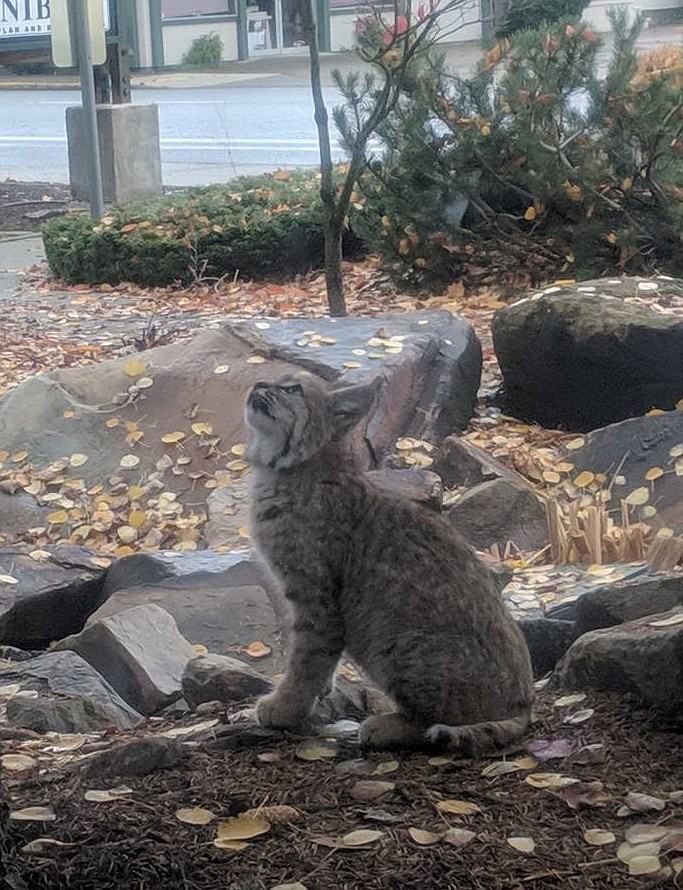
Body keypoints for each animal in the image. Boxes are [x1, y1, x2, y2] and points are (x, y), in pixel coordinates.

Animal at [244, 368, 536, 748]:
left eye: (292, 389)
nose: (256, 384)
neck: (287, 467)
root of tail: (526, 705)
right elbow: (316, 658)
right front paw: (320, 692)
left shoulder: (315, 596)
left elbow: (306, 657)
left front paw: (285, 707)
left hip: (393, 639)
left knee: (432, 723)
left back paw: (383, 727)